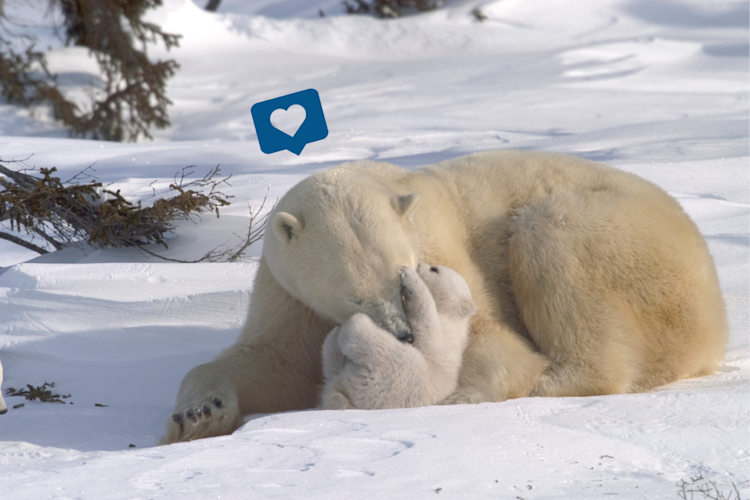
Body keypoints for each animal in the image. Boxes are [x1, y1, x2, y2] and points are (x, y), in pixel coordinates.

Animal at [320, 262, 477, 410]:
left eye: (434, 269)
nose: (418, 264)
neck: (453, 315)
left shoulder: (445, 335)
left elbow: (427, 325)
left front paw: (409, 275)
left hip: (399, 379)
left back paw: (354, 324)